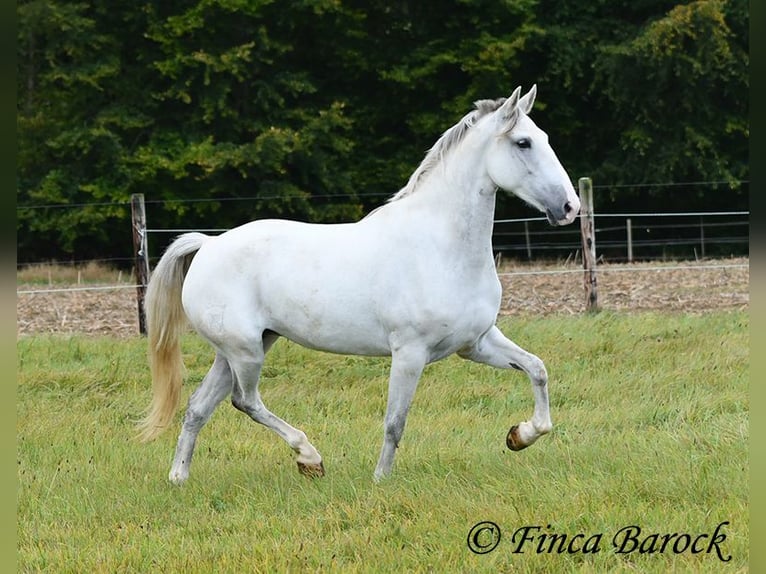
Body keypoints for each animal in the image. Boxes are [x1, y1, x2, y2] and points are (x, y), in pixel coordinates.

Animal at [138, 85, 584, 484]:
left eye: (544, 138)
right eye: (523, 142)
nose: (569, 207)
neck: (440, 247)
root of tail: (209, 244)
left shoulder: (475, 343)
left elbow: (537, 369)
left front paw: (520, 435)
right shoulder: (409, 353)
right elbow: (395, 422)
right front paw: (381, 479)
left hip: (242, 348)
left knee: (198, 406)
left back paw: (179, 477)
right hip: (245, 351)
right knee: (245, 400)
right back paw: (309, 457)